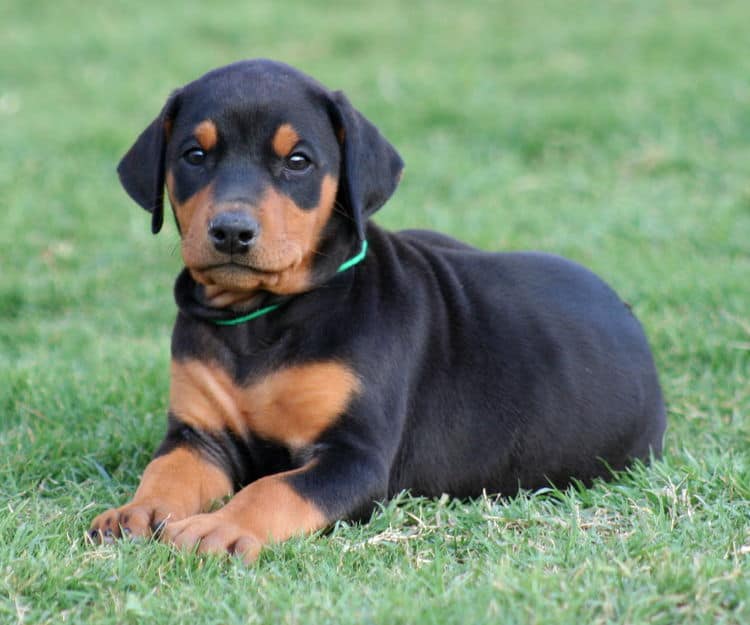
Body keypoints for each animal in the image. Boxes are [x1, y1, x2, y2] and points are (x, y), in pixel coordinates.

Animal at [89, 61, 668, 564]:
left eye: (297, 161)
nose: (231, 230)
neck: (261, 318)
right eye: (194, 155)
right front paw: (137, 510)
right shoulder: (199, 435)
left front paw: (221, 526)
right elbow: (167, 470)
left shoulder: (356, 457)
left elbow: (275, 489)